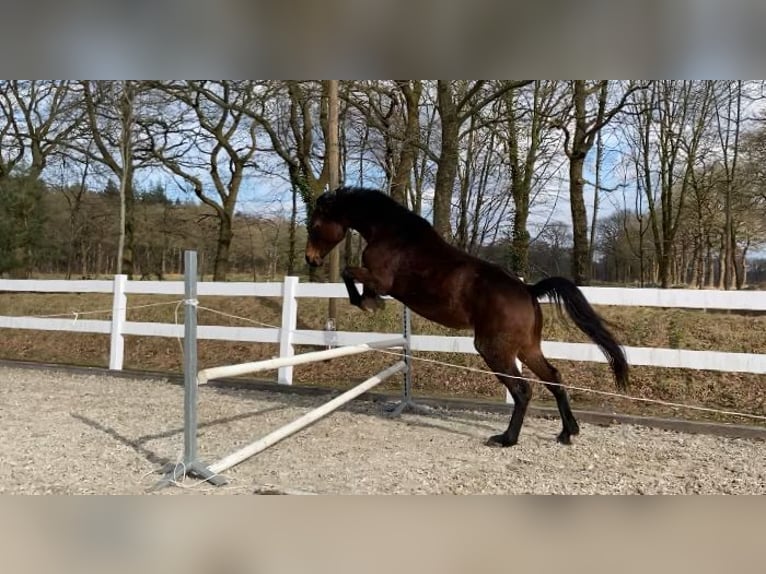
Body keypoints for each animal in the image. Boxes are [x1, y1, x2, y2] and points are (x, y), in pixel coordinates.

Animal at [305, 186, 628, 447]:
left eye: (315, 225)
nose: (311, 259)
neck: (390, 233)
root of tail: (528, 290)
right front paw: (370, 303)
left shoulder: (382, 280)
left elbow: (348, 272)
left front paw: (367, 303)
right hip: (527, 349)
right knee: (554, 379)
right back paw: (567, 432)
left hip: (493, 349)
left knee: (522, 390)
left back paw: (506, 439)